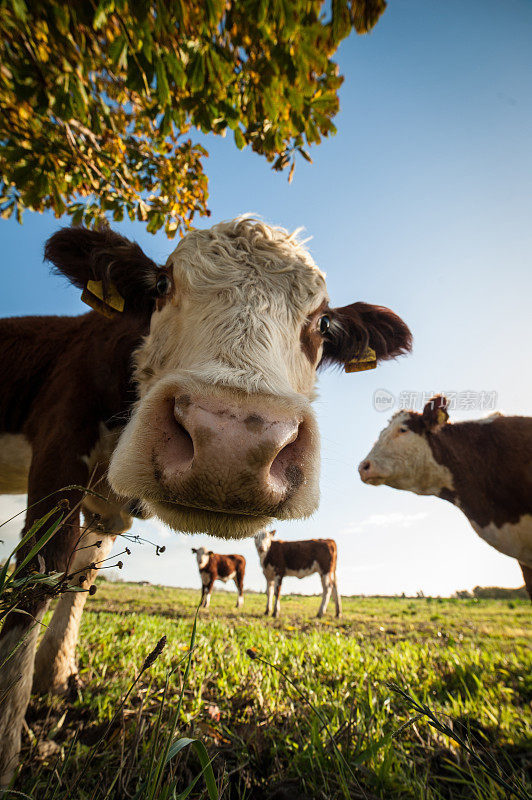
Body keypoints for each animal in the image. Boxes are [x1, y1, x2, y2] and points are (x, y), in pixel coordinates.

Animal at [0, 216, 412, 780]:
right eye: (161, 285)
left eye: (324, 323)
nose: (230, 441)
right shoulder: (61, 449)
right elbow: (40, 576)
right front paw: (15, 732)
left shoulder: (106, 505)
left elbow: (77, 577)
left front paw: (55, 679)